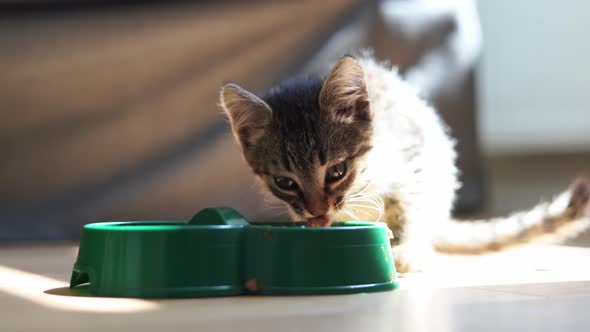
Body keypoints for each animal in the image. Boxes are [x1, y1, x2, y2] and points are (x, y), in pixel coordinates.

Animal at [221, 55, 590, 272]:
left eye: (337, 171)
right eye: (285, 182)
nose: (316, 211)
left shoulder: (413, 161)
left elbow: (408, 209)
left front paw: (403, 250)